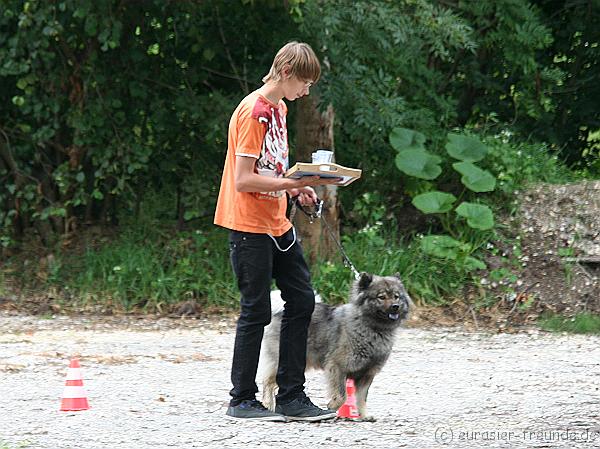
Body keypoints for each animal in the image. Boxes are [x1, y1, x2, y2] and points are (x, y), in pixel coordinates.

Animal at [260, 270, 410, 420]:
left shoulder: (366, 375)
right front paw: (332, 407)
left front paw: (364, 415)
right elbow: (342, 396)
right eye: (381, 297)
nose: (395, 306)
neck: (372, 328)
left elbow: (361, 398)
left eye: (396, 297)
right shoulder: (338, 367)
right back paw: (268, 405)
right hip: (282, 361)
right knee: (268, 383)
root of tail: (280, 311)